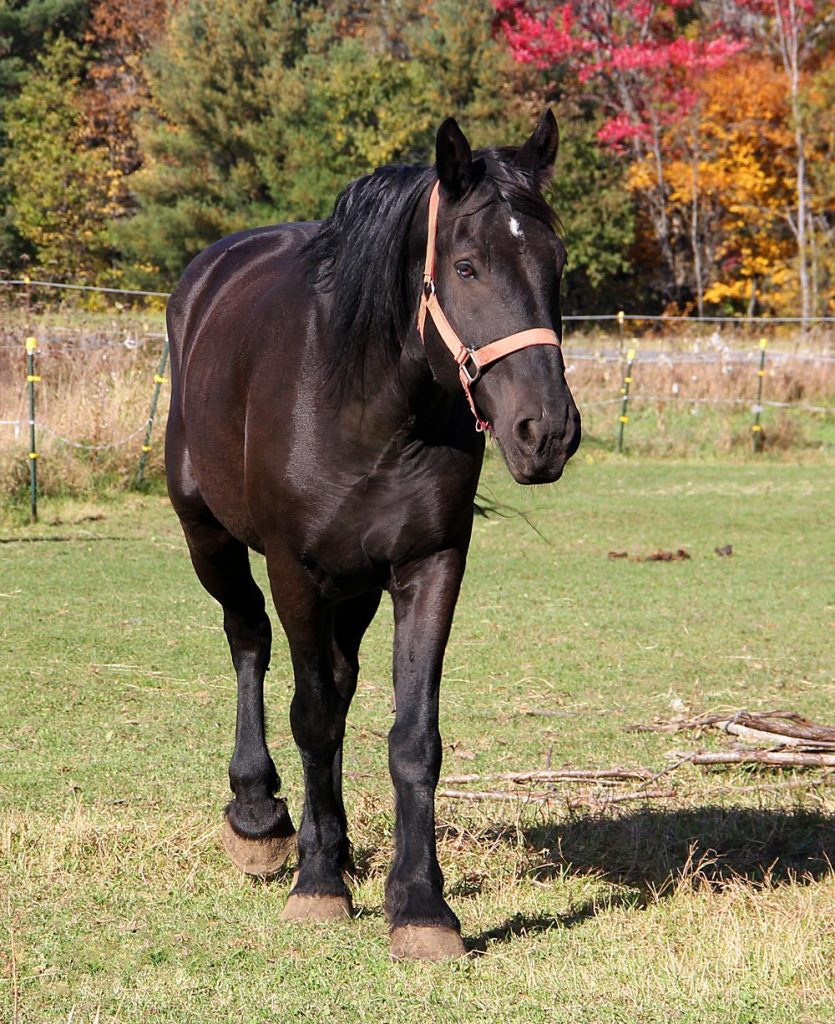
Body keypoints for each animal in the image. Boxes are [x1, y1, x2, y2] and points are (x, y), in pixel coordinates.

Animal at [162, 110, 581, 958]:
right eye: (466, 266)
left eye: (555, 263)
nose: (546, 431)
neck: (370, 401)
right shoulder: (294, 568)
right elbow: (312, 716)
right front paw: (318, 886)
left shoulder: (430, 564)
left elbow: (412, 737)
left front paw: (419, 904)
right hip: (209, 538)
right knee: (248, 639)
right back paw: (260, 816)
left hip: (353, 584)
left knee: (339, 675)